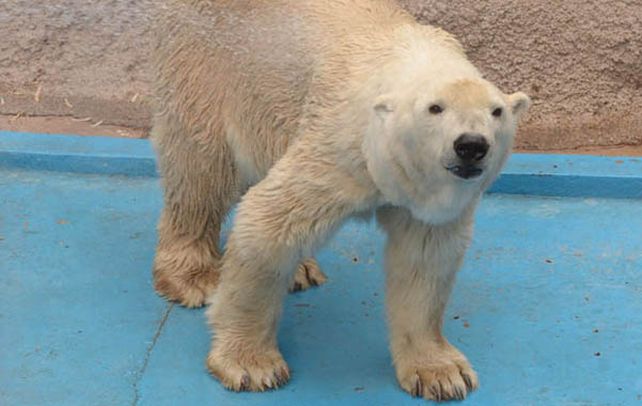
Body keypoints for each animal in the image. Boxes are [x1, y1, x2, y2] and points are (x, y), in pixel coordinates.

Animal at [150, 0, 531, 401]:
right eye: (435, 108)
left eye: (496, 112)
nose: (471, 145)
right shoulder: (341, 145)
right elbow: (268, 222)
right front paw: (252, 365)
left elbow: (424, 258)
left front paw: (441, 373)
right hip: (207, 70)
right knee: (200, 172)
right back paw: (194, 277)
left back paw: (300, 270)